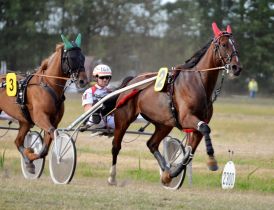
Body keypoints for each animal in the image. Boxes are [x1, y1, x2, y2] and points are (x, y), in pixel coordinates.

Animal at [0, 33, 86, 173]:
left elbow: (46, 145)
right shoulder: (40, 117)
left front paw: (30, 159)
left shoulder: (53, 120)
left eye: (83, 57)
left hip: (25, 122)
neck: (47, 85)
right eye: (71, 58)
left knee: (18, 141)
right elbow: (53, 132)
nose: (83, 80)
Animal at [107, 22, 242, 185]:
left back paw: (165, 169)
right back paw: (112, 177)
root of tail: (132, 81)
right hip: (123, 119)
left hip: (164, 124)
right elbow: (205, 129)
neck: (199, 83)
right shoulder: (186, 118)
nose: (236, 67)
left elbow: (190, 152)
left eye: (235, 44)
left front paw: (171, 174)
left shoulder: (196, 125)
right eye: (223, 44)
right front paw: (212, 161)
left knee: (151, 144)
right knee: (116, 146)